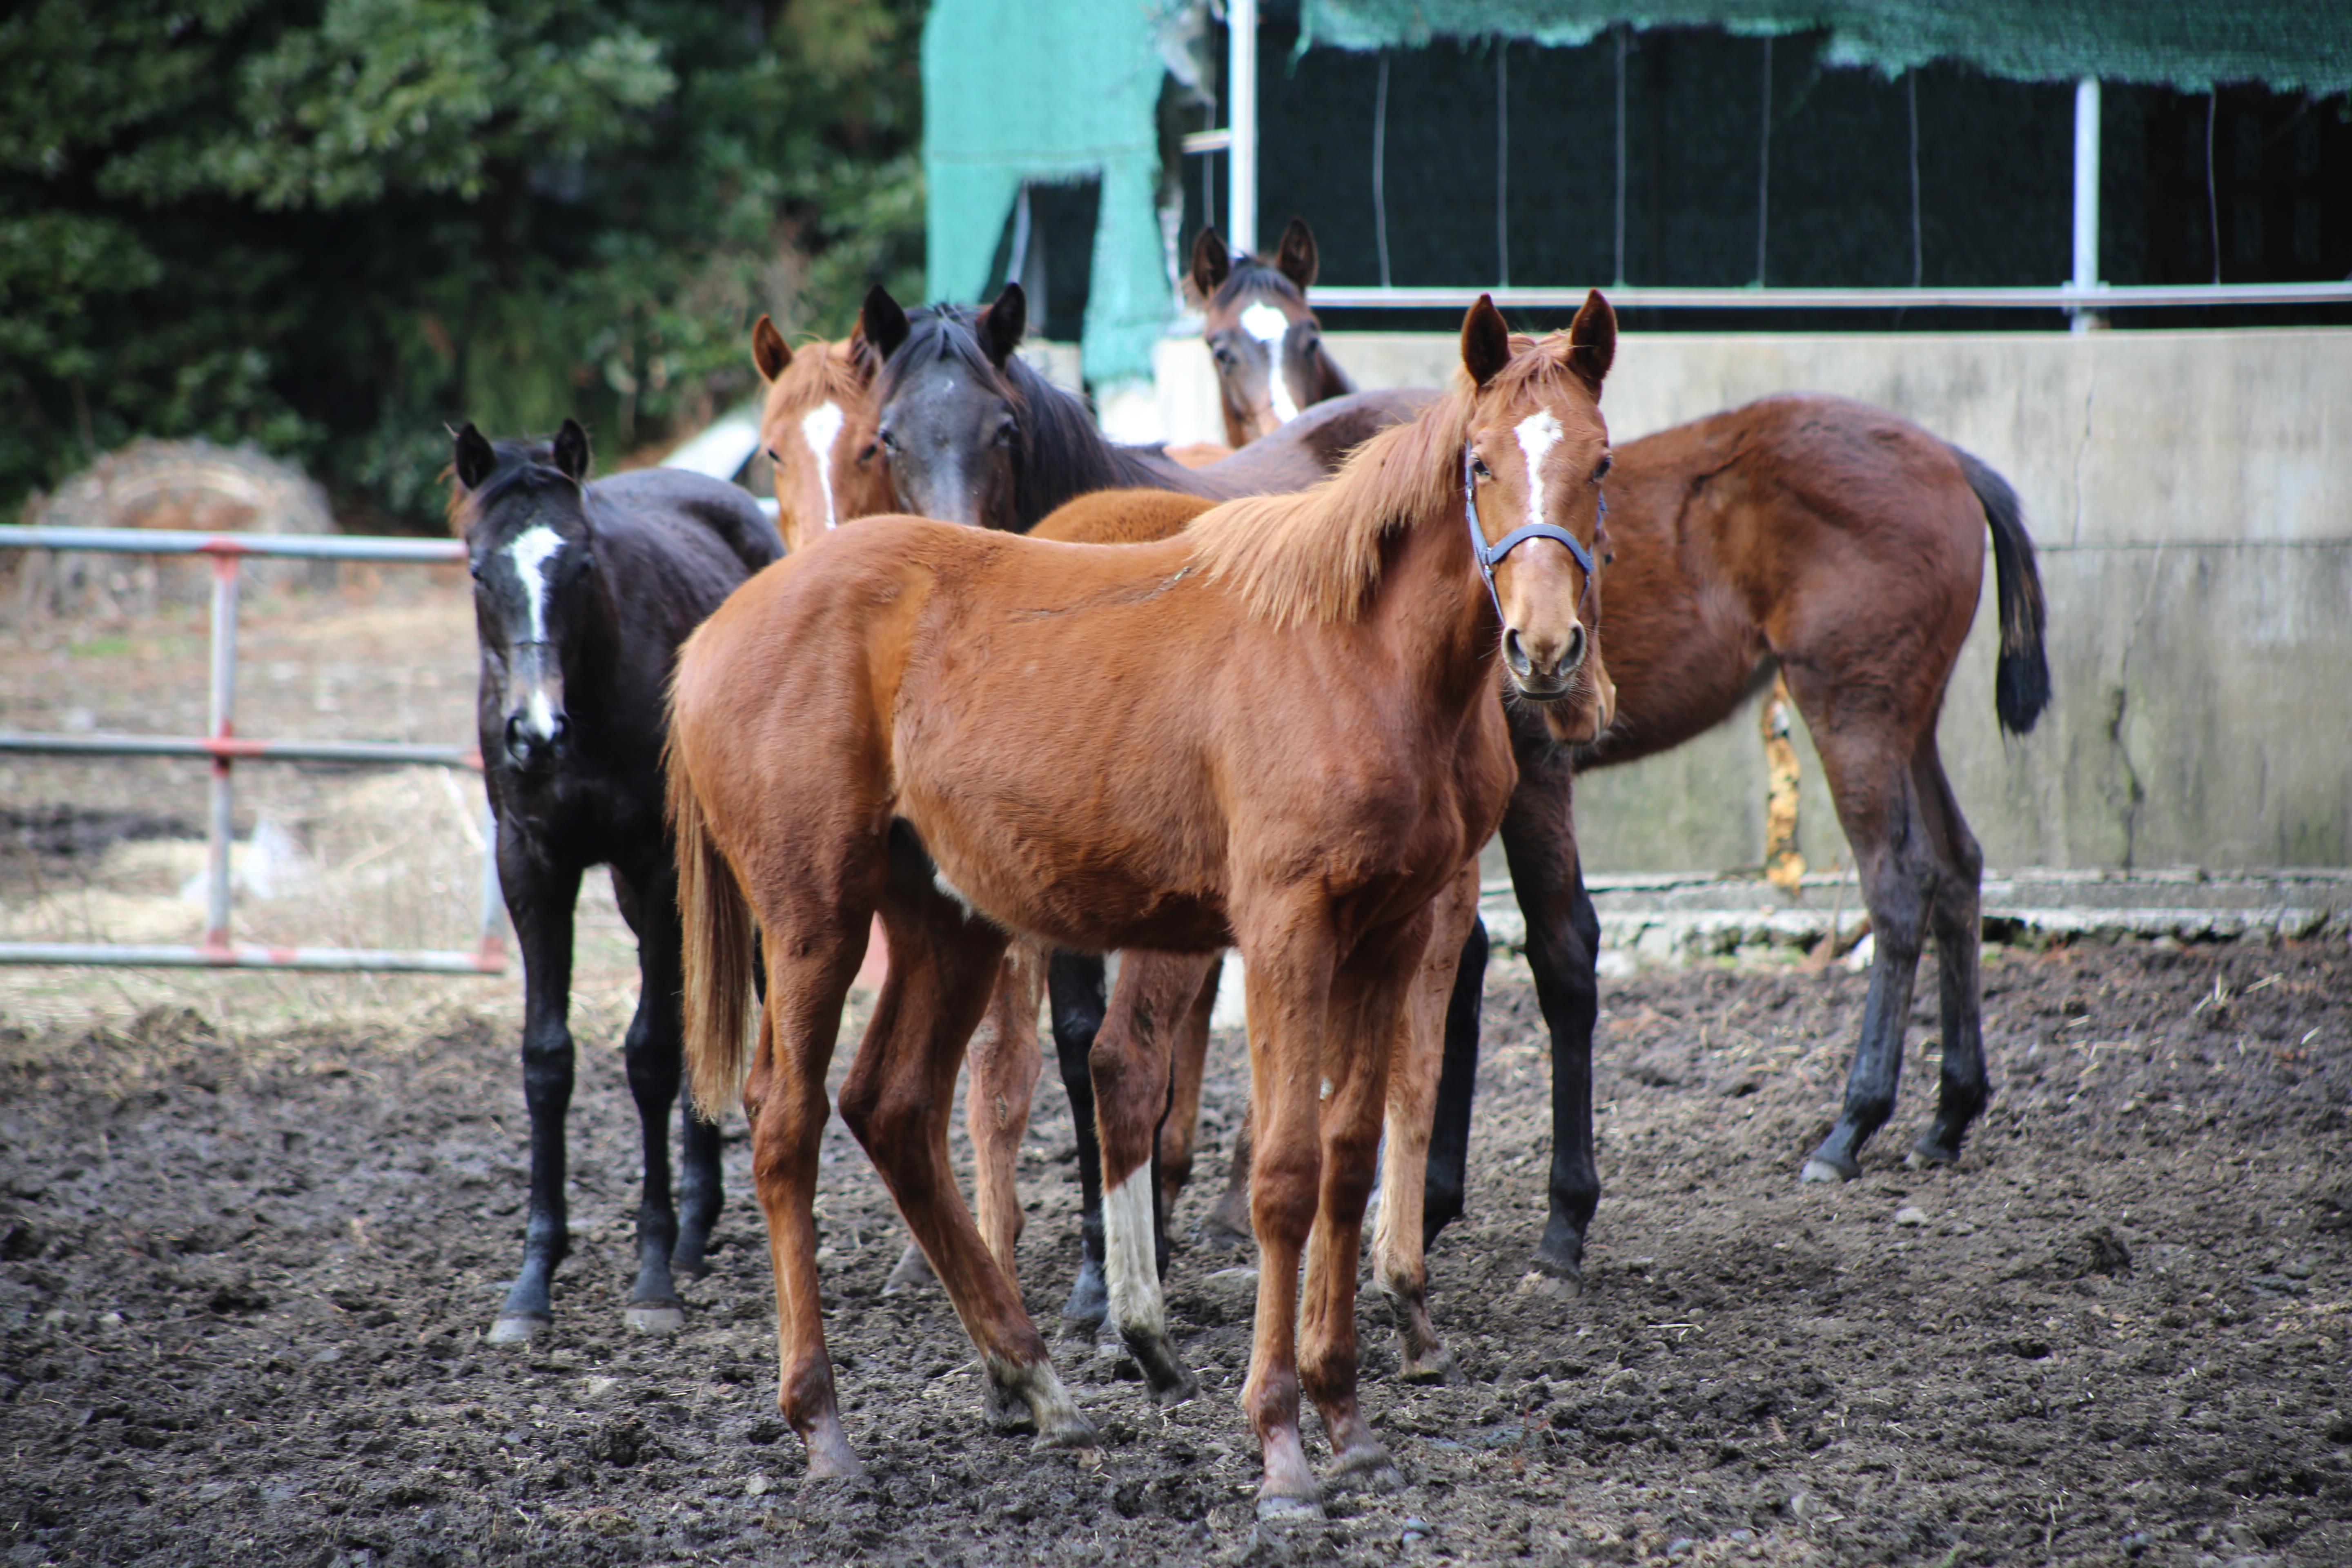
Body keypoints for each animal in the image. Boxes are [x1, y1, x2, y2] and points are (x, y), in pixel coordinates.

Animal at [454, 423, 785, 1345]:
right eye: (478, 568)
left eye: (582, 563)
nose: (534, 731)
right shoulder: (532, 861)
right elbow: (547, 1059)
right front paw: (532, 1284)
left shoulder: (656, 857)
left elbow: (650, 1056)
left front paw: (650, 1278)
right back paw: (699, 1229)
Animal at [663, 291, 1618, 1504]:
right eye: (1480, 462)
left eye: (1599, 461)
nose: (1543, 651)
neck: (1355, 652)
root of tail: (715, 632)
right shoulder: (1284, 928)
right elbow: (1284, 1174)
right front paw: (1279, 1442)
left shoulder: (1388, 932)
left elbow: (1349, 1155)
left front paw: (1344, 1413)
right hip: (812, 922)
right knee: (785, 1122)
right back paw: (824, 1420)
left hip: (947, 924)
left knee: (895, 1108)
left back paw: (1035, 1382)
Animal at [1204, 227, 2051, 1316]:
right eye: (1220, 343)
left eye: (1304, 336)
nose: (1545, 648)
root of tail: (1950, 456)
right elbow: (1458, 960)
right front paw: (1425, 1203)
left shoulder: (1532, 770)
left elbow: (1545, 953)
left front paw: (1541, 1220)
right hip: (1910, 716)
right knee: (1957, 866)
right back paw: (1947, 1114)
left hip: (1851, 710)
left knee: (1897, 884)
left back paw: (1850, 1125)